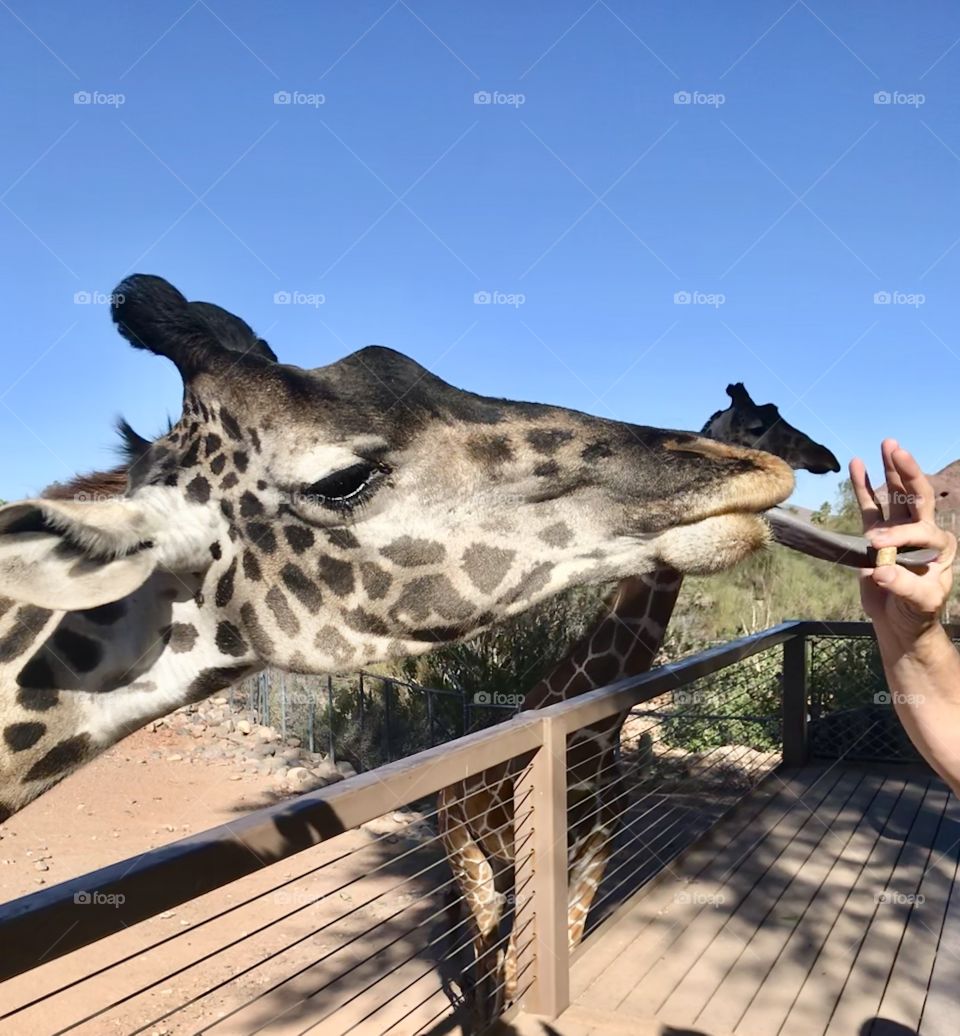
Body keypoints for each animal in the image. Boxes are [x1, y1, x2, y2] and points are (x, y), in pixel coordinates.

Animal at [438, 390, 841, 1025]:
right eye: (757, 424)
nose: (827, 458)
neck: (601, 728)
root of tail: (442, 797)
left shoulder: (597, 852)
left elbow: (568, 945)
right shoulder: (551, 858)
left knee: (490, 965)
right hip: (468, 858)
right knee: (485, 968)